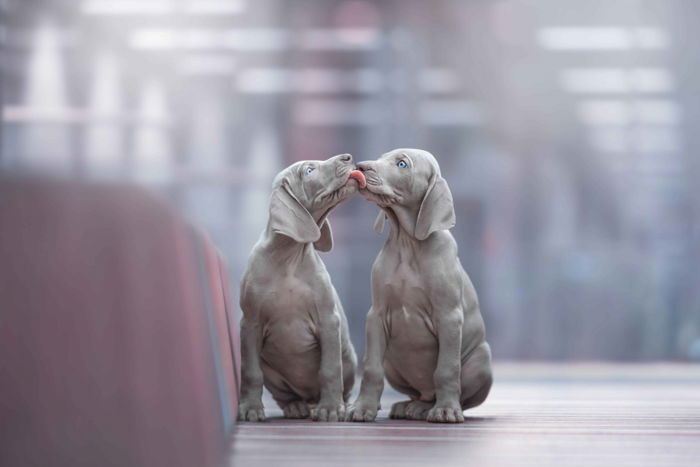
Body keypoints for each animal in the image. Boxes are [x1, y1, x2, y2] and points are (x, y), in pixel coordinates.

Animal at [238, 154, 366, 424]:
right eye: (309, 170)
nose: (348, 157)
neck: (288, 258)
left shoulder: (328, 321)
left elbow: (330, 369)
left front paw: (331, 409)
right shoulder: (250, 324)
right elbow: (250, 372)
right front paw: (250, 408)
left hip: (349, 357)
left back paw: (336, 405)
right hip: (272, 371)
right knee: (284, 394)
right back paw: (295, 406)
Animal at [346, 149, 492, 424]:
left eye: (402, 164)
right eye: (382, 157)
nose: (360, 166)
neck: (407, 244)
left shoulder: (449, 317)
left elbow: (447, 369)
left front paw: (446, 410)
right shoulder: (376, 315)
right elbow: (371, 368)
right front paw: (362, 407)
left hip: (482, 360)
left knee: (457, 395)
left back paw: (435, 408)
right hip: (392, 363)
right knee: (419, 394)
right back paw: (410, 406)